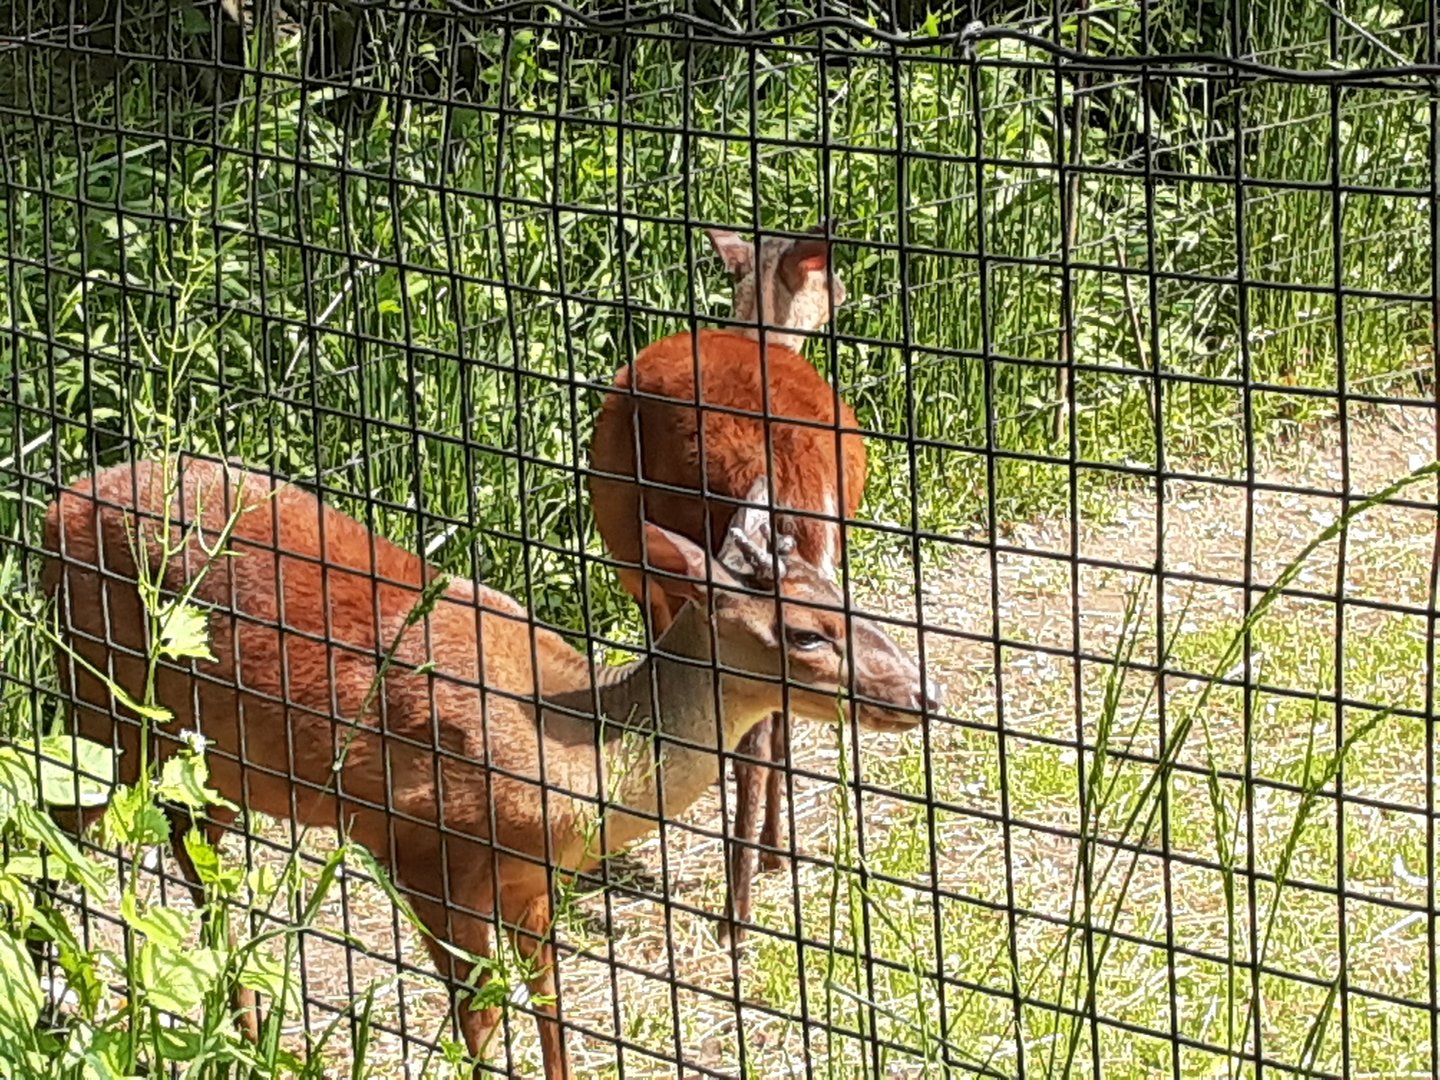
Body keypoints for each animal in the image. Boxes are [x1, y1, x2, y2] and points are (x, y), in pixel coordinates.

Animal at [40, 453, 934, 1079]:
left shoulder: (535, 882)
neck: (574, 752)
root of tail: (55, 507)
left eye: (849, 599)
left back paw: (244, 1030)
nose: (923, 693)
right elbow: (480, 1021)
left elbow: (551, 1006)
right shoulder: (424, 848)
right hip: (102, 706)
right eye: (806, 634)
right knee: (60, 825)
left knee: (193, 849)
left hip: (207, 759)